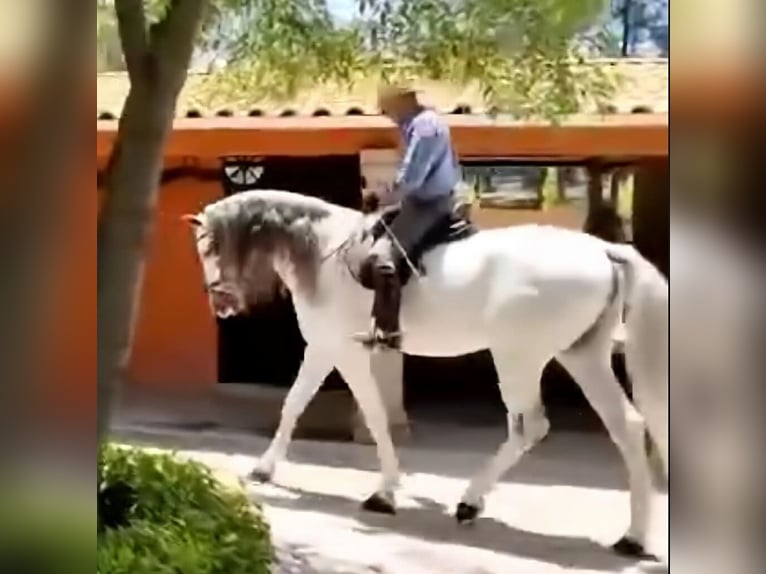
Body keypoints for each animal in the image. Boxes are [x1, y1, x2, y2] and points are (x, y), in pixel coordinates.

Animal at [183, 189, 669, 560]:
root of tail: (603, 250)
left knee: (530, 426)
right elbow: (294, 403)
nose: (221, 305)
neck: (323, 251)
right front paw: (265, 469)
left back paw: (473, 503)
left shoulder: (342, 351)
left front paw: (384, 492)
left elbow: (373, 414)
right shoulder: (323, 348)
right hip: (581, 356)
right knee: (627, 427)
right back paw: (632, 538)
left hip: (519, 356)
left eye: (209, 247)